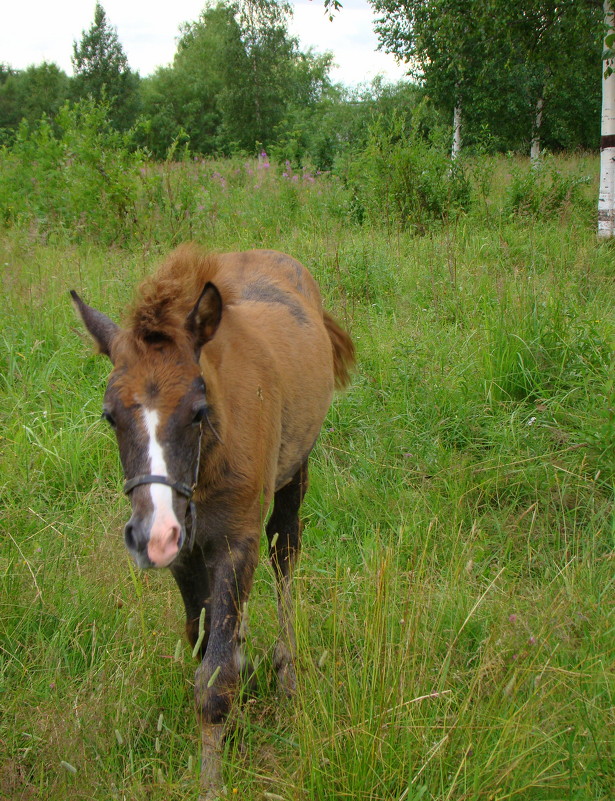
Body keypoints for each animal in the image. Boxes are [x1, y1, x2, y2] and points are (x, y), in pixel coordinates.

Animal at [71, 247, 356, 796]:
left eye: (198, 411)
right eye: (110, 415)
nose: (153, 535)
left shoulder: (235, 543)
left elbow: (214, 679)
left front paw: (214, 782)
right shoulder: (187, 555)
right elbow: (204, 645)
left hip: (294, 478)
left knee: (286, 555)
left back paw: (286, 673)